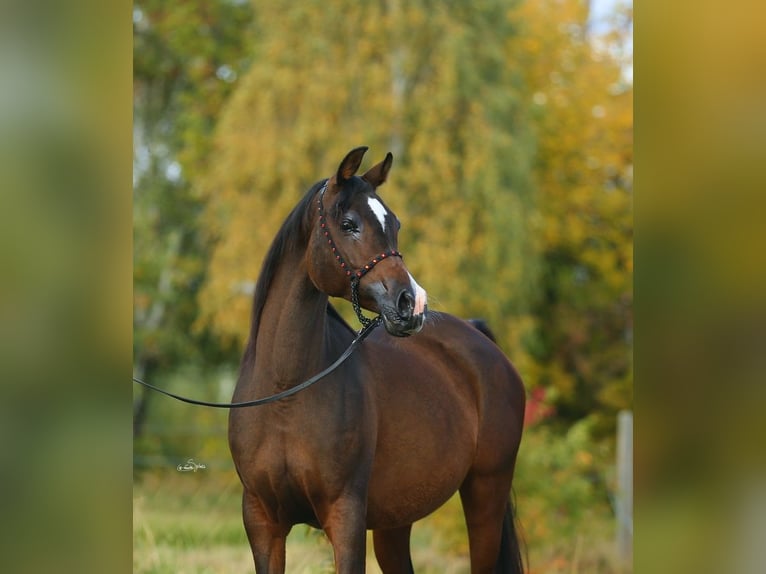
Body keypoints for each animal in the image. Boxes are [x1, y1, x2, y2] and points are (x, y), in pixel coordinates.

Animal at [228, 146, 528, 572]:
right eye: (349, 224)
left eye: (395, 224)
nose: (411, 304)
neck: (285, 392)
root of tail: (481, 341)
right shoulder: (262, 522)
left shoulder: (346, 519)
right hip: (396, 520)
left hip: (486, 493)